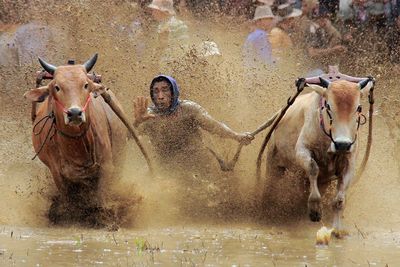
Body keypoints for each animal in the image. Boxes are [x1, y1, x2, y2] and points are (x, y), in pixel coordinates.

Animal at [23, 55, 126, 227]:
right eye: (57, 87)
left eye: (85, 85)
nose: (75, 113)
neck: (77, 146)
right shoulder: (57, 172)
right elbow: (68, 199)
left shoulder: (107, 167)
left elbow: (100, 198)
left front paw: (105, 220)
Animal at [268, 77, 374, 237]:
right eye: (329, 106)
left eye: (359, 108)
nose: (342, 144)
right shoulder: (302, 150)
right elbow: (313, 168)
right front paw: (314, 209)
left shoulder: (349, 164)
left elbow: (339, 201)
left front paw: (336, 229)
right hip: (274, 165)